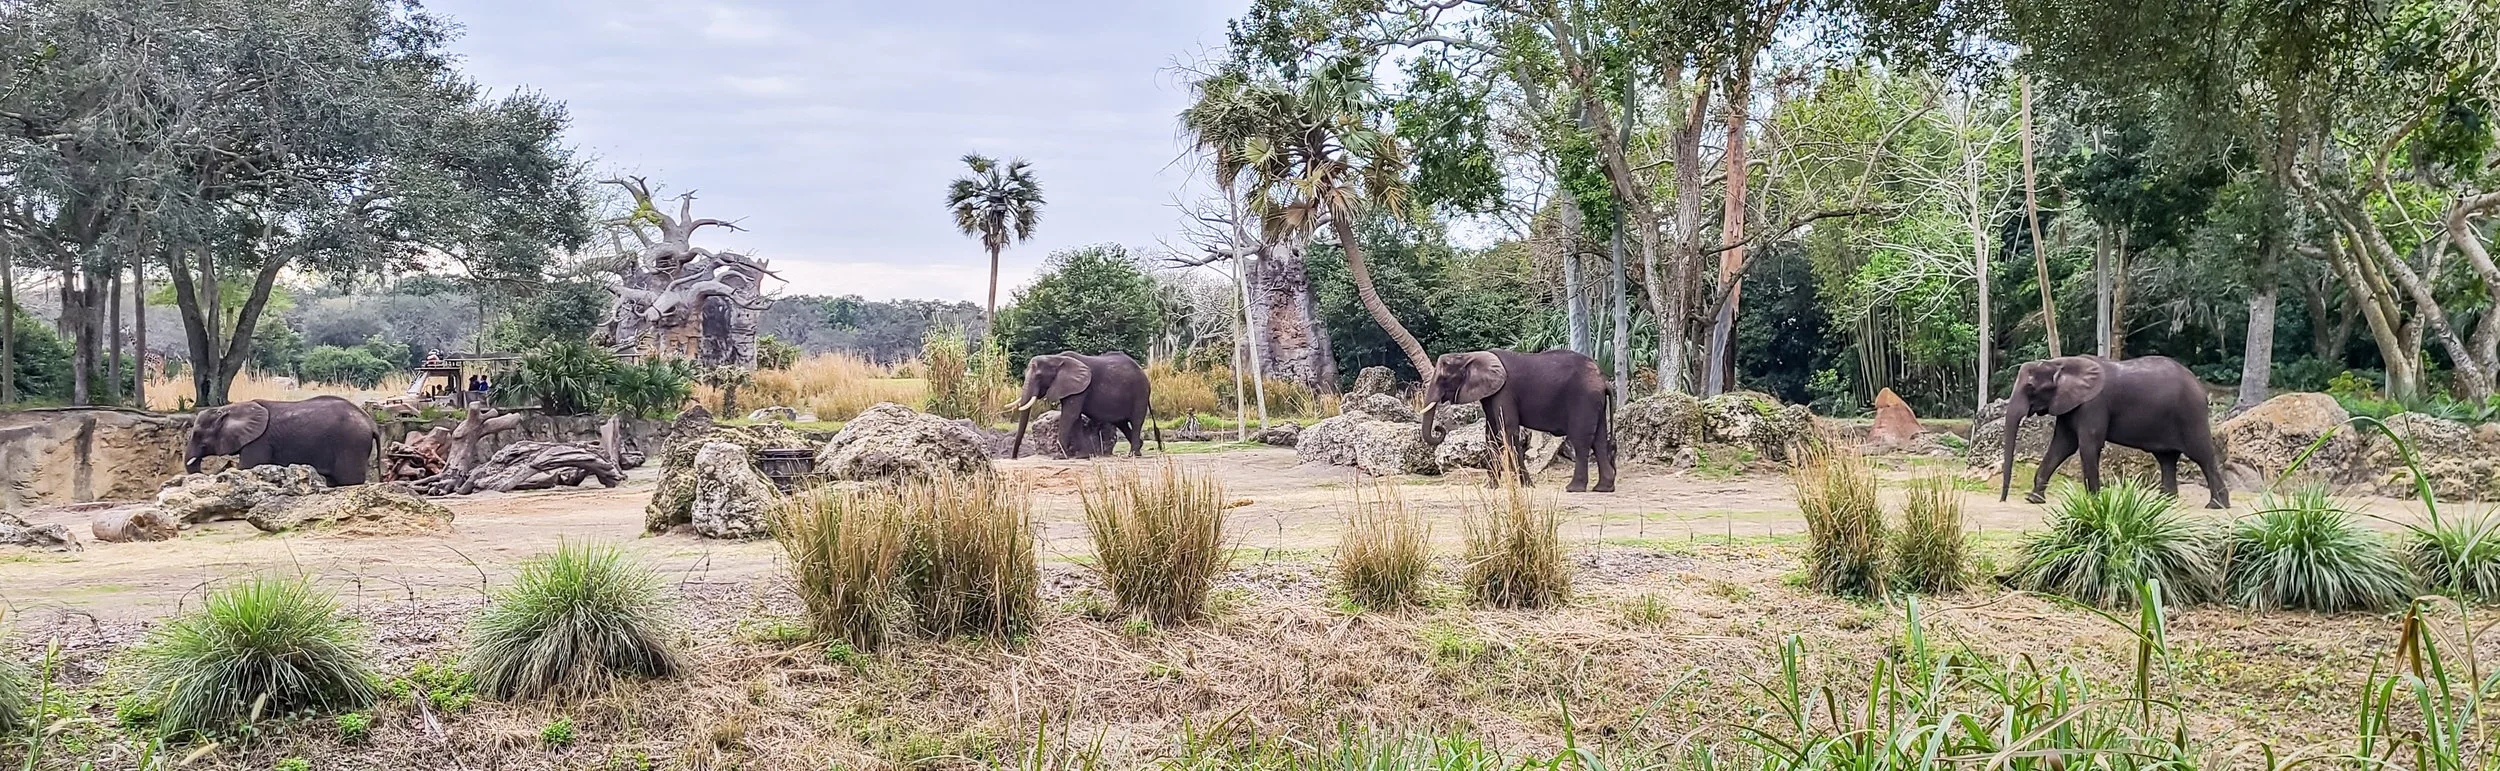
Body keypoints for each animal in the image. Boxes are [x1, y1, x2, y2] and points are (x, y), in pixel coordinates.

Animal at [187, 396, 382, 487]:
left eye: (198, 435)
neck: (230, 408)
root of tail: (372, 423)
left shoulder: (259, 441)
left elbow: (248, 467)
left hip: (351, 444)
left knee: (348, 480)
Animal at [1009, 351, 1164, 459]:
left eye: (1039, 376)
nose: (1014, 457)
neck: (1056, 358)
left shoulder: (1080, 388)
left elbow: (1070, 415)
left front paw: (1060, 456)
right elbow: (1075, 418)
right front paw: (1081, 456)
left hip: (1140, 392)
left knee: (1136, 421)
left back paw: (1133, 454)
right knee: (1121, 423)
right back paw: (1139, 448)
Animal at [1419, 349, 1617, 492]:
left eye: (1444, 378)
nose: (1439, 429)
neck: (1471, 355)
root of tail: (1603, 380)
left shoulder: (1504, 391)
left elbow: (1508, 431)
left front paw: (1528, 486)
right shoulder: (1490, 394)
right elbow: (1491, 435)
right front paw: (1490, 487)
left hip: (1584, 398)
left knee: (1581, 440)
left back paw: (1573, 489)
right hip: (1595, 402)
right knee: (1599, 440)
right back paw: (1603, 488)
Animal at [1996, 355, 2228, 509]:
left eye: (2030, 387)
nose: (2003, 499)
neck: (2060, 363)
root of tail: (2201, 388)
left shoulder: (2094, 404)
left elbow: (2087, 445)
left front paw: (2094, 502)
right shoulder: (2070, 405)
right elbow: (2063, 445)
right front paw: (2033, 499)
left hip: (2191, 414)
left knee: (2202, 456)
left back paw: (2216, 505)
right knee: (2166, 458)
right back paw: (2164, 504)